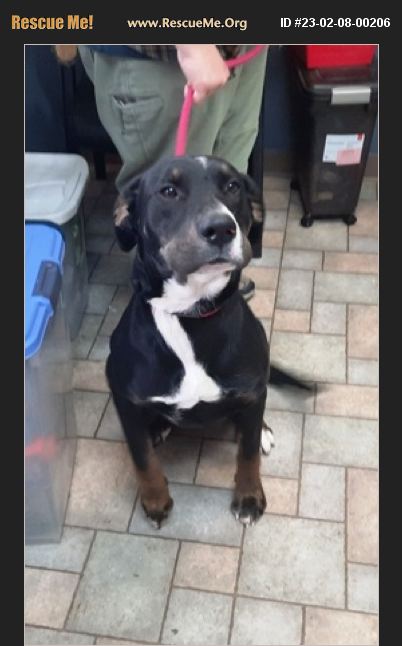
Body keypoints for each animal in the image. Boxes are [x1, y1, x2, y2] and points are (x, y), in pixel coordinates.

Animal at [106, 155, 310, 528]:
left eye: (232, 186)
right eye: (168, 191)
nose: (221, 228)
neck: (188, 314)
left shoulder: (250, 388)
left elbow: (247, 454)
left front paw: (248, 497)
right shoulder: (123, 398)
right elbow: (142, 459)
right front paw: (156, 501)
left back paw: (261, 430)